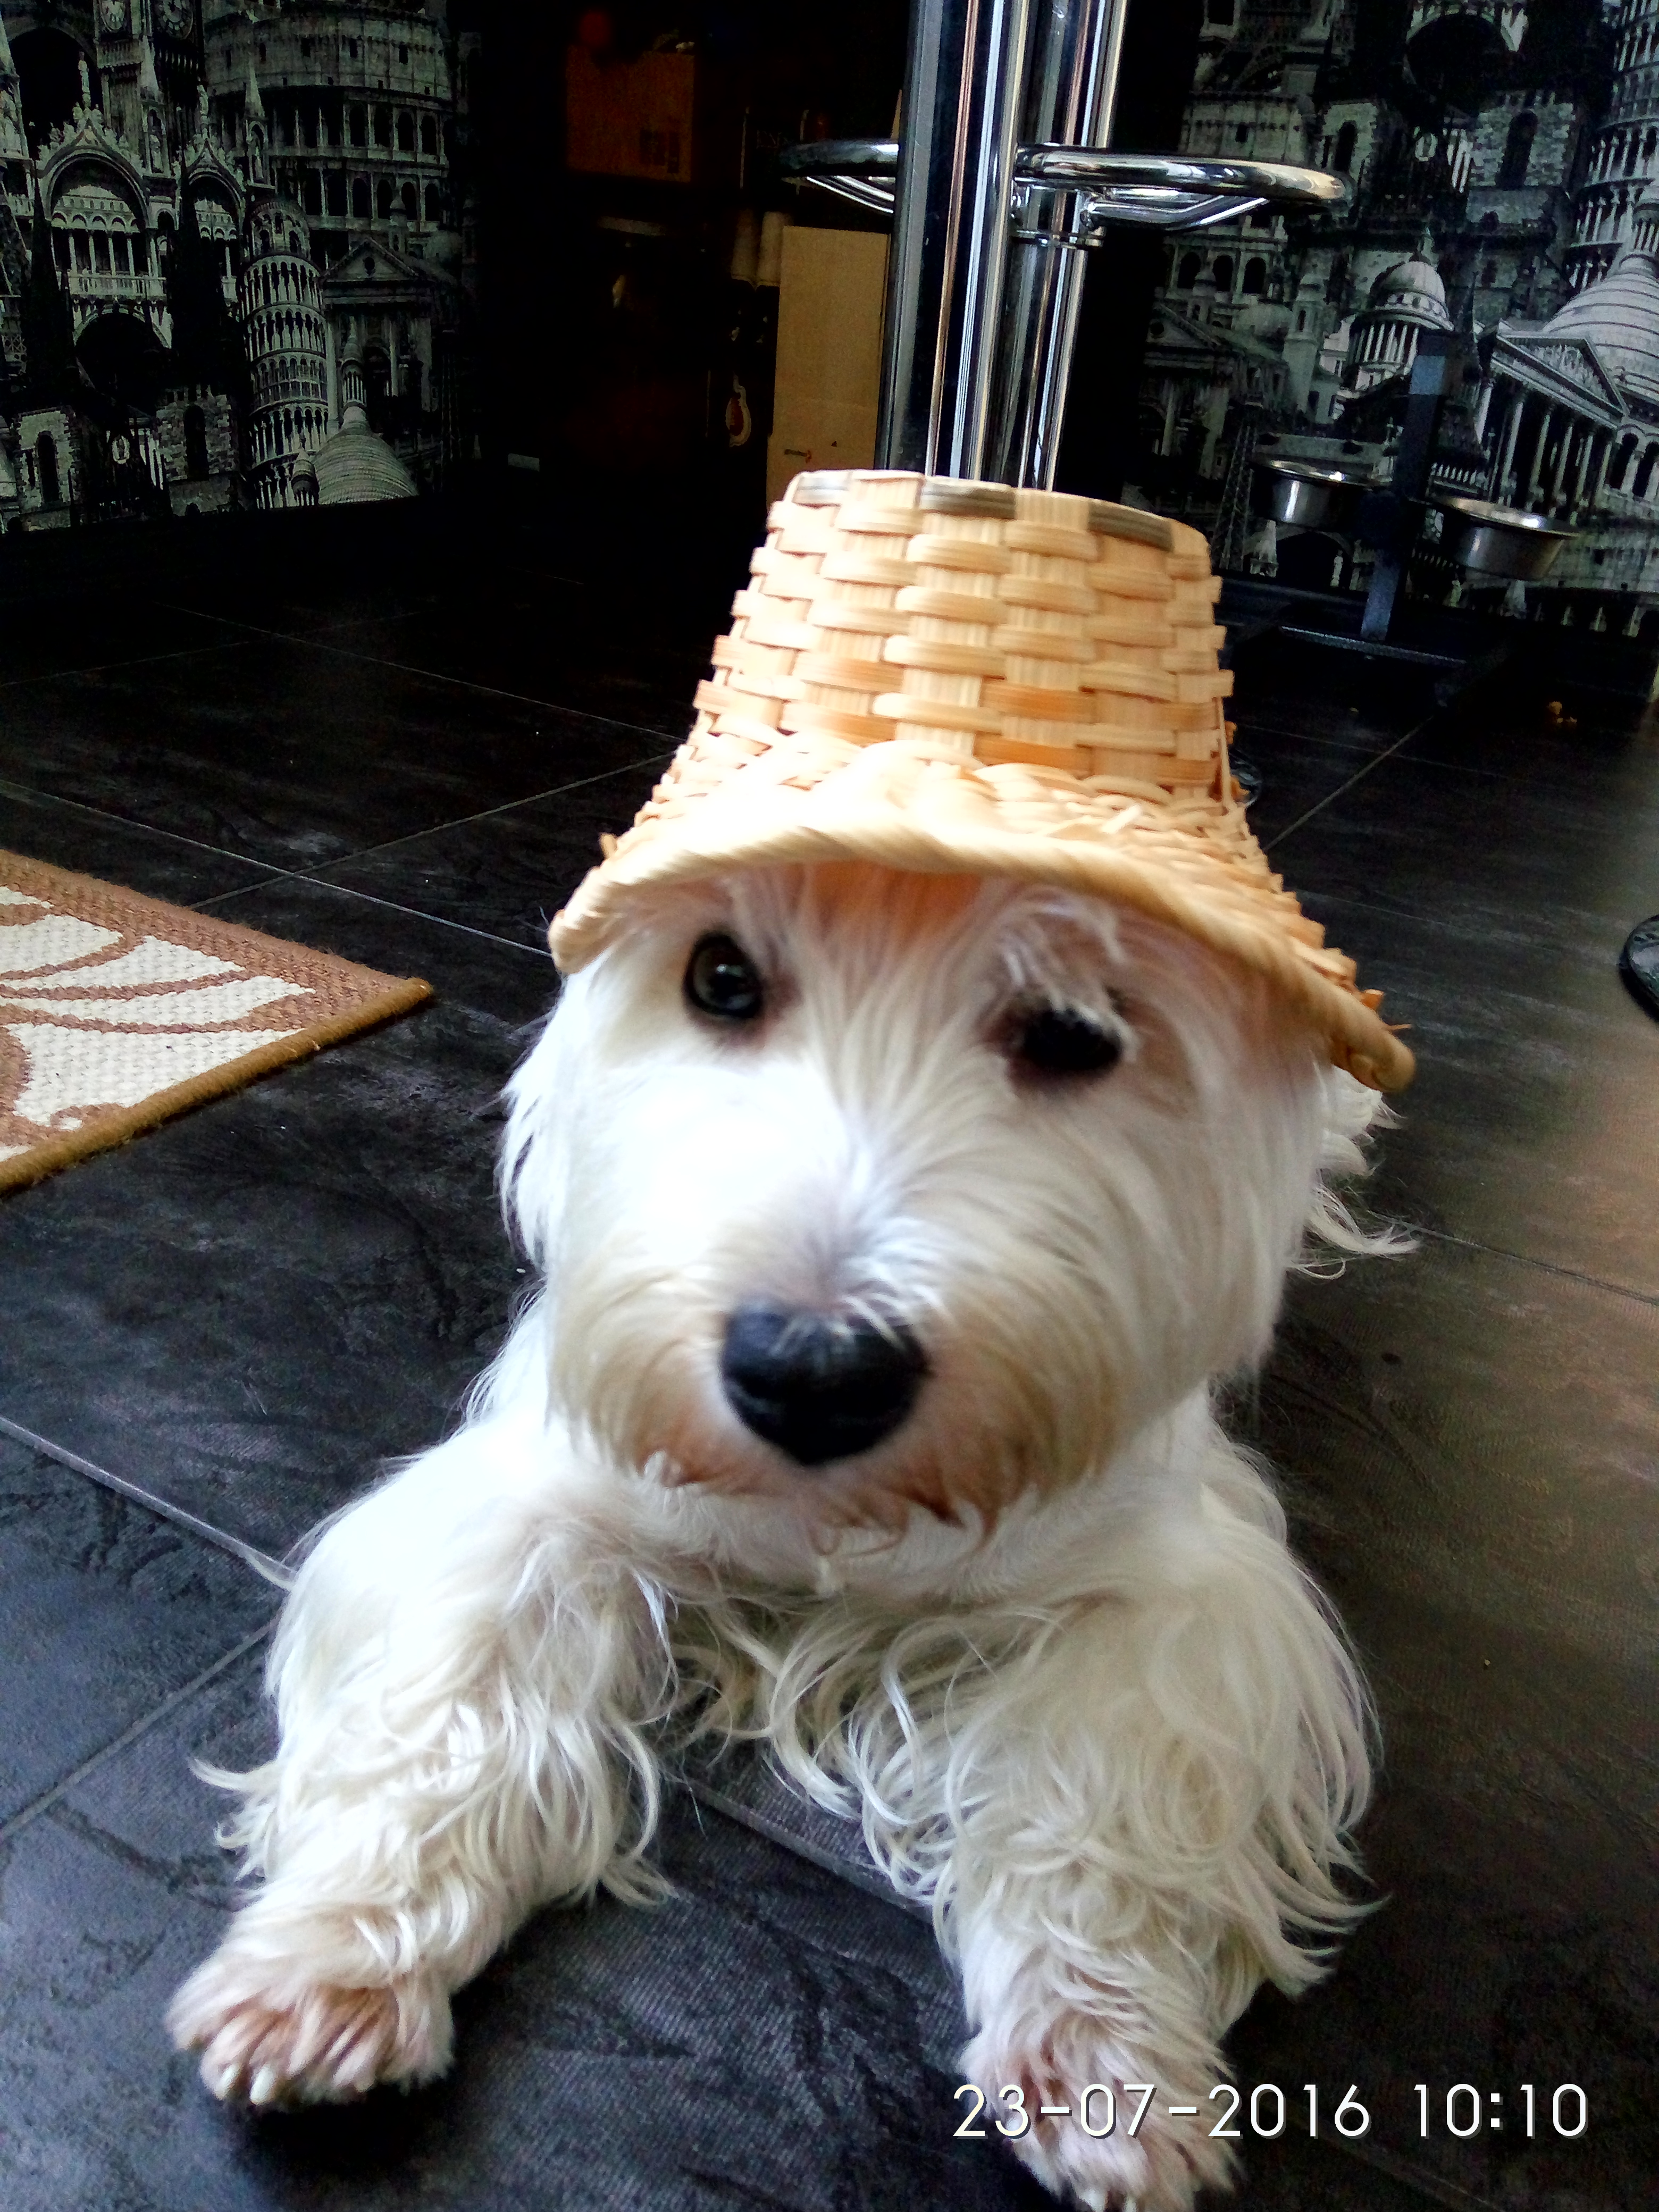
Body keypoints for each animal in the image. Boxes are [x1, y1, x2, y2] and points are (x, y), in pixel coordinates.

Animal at [168, 855, 1397, 2210]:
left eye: (1077, 1032)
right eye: (719, 976)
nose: (809, 1372)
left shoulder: (1180, 1592)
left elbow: (1105, 1800)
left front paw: (1100, 2056)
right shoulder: (543, 1490)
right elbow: (444, 1710)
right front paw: (328, 1962)